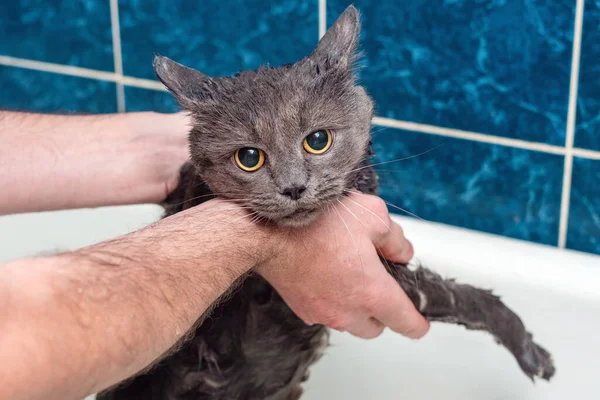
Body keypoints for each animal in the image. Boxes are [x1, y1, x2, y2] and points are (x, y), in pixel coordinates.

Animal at [98, 6, 552, 400]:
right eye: (249, 158)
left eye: (318, 141)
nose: (294, 188)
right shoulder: (382, 278)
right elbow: (464, 297)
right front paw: (528, 347)